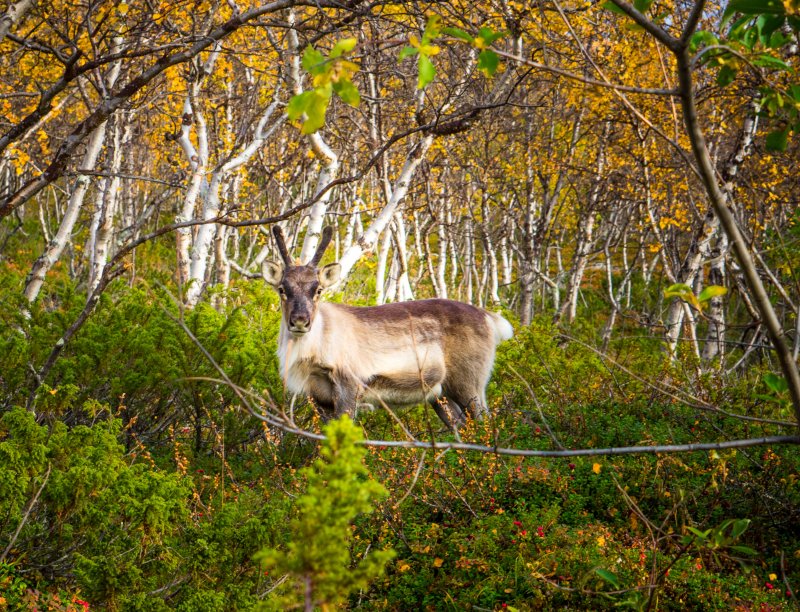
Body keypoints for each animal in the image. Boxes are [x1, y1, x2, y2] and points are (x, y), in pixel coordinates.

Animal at [262, 225, 514, 429]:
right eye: (282, 289)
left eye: (318, 290)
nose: (300, 320)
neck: (314, 352)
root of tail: (489, 318)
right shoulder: (317, 396)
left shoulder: (349, 385)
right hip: (441, 394)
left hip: (470, 383)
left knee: (484, 423)